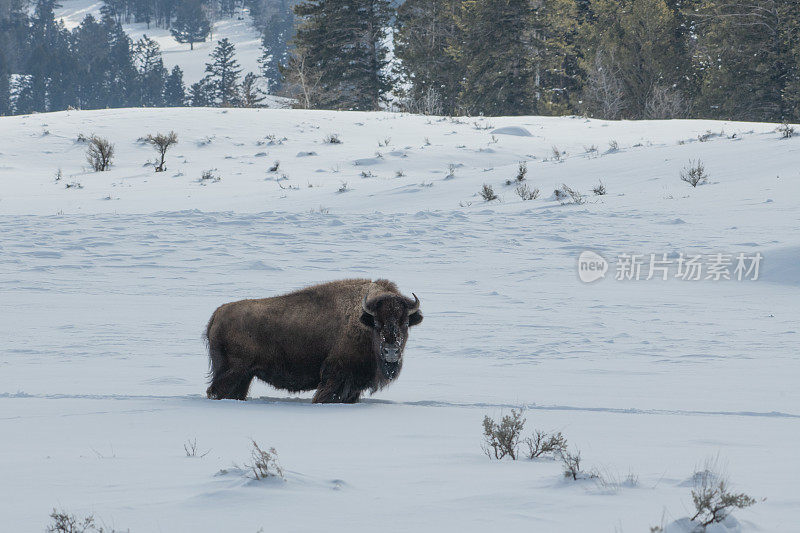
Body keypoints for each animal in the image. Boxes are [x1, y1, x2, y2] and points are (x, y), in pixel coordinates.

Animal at [203, 280, 422, 402]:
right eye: (376, 322)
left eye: (405, 322)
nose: (391, 351)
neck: (362, 320)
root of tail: (217, 313)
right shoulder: (336, 375)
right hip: (233, 372)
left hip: (244, 375)